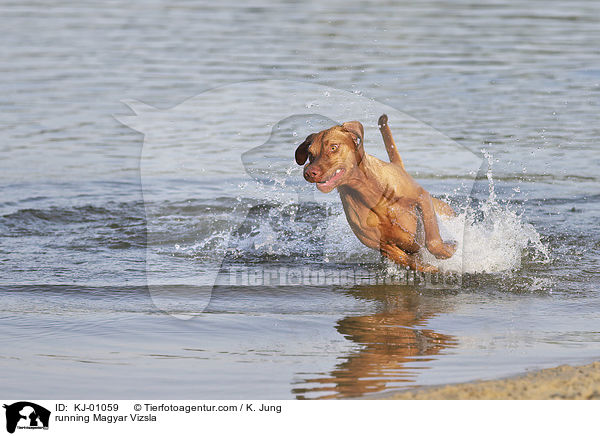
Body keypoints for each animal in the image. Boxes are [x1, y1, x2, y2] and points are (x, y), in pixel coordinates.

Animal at [294, 114, 454, 270]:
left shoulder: (422, 198)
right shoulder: (384, 246)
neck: (369, 193)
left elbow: (433, 241)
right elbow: (412, 262)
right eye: (310, 153)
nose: (309, 172)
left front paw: (448, 249)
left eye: (333, 147)